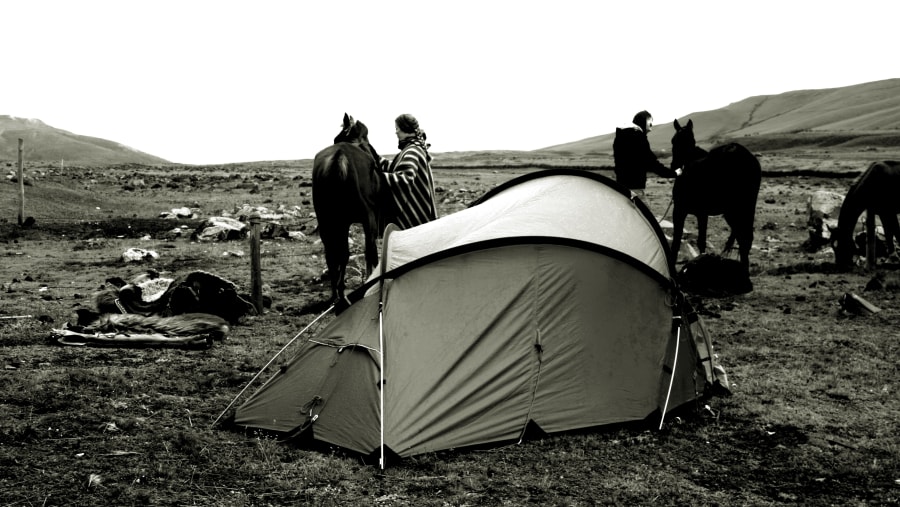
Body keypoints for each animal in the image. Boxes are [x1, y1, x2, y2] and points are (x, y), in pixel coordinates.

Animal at [312, 114, 384, 312]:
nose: (376, 157)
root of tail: (339, 159)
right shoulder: (370, 218)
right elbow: (371, 250)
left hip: (329, 222)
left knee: (333, 255)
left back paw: (337, 295)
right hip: (362, 219)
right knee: (363, 250)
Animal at [668, 119, 760, 276]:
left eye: (690, 141)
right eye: (674, 140)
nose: (674, 165)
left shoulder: (681, 210)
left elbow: (678, 239)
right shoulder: (701, 213)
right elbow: (700, 240)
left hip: (735, 210)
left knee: (744, 237)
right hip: (742, 210)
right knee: (745, 238)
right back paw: (744, 269)